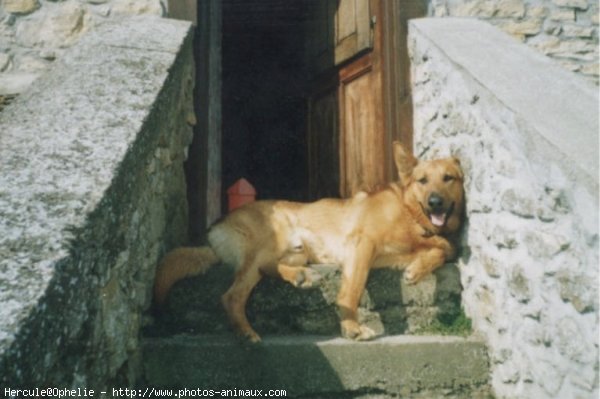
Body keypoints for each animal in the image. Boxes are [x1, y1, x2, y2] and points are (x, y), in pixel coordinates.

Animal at [154, 144, 464, 344]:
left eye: (448, 178)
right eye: (423, 180)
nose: (435, 202)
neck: (411, 214)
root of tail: (214, 231)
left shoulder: (393, 254)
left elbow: (444, 249)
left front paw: (418, 268)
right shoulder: (362, 244)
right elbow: (351, 292)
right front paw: (351, 327)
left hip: (296, 251)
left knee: (266, 270)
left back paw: (300, 277)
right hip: (272, 236)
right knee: (233, 294)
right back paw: (246, 330)